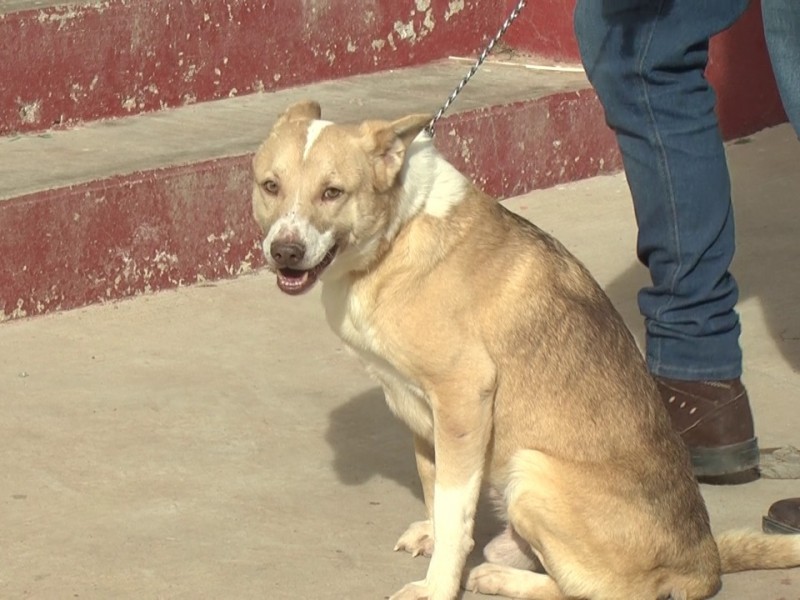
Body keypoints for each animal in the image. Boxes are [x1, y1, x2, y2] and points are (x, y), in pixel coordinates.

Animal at [252, 101, 800, 596]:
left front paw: (437, 586)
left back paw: (500, 578)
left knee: (602, 592)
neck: (395, 235)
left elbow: (454, 512)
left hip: (534, 471)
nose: (285, 252)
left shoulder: (462, 394)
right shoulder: (421, 411)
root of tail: (703, 561)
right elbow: (436, 489)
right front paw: (432, 537)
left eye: (333, 193)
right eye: (270, 186)